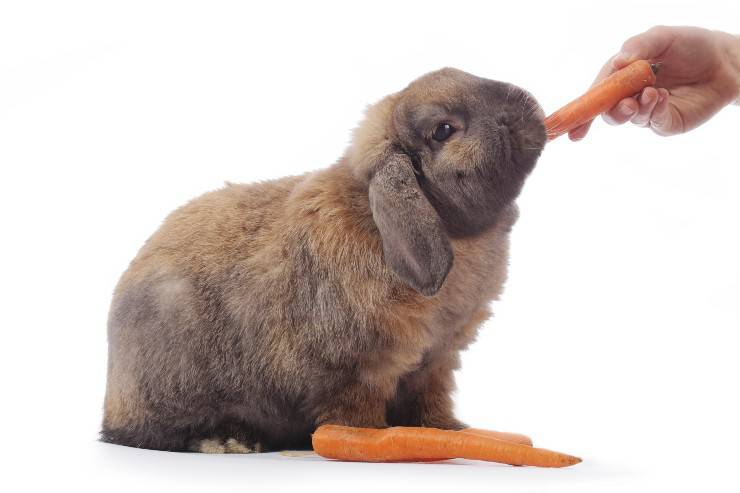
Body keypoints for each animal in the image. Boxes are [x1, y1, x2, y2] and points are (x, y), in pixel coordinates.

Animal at [101, 67, 546, 453]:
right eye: (444, 130)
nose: (526, 103)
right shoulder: (356, 370)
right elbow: (354, 413)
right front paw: (371, 437)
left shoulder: (435, 363)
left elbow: (430, 407)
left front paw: (452, 431)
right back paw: (229, 440)